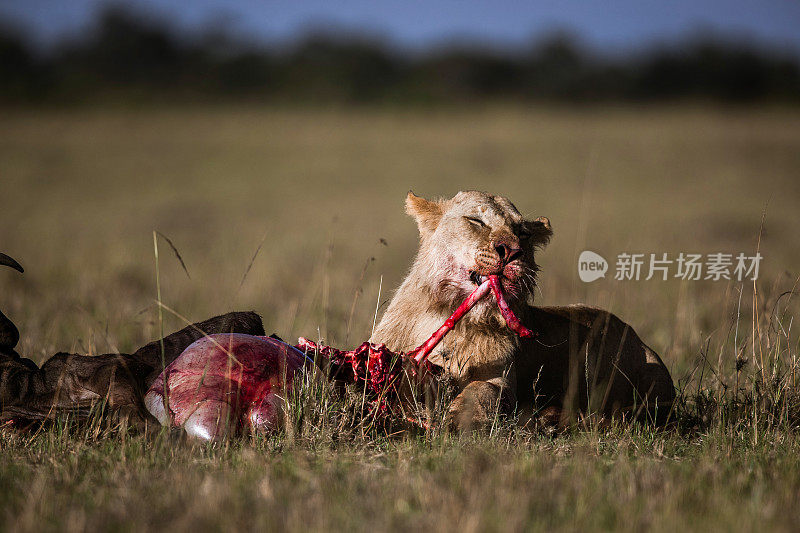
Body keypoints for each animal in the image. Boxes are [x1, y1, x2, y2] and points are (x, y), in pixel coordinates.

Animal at [372, 189, 672, 430]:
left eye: (523, 234)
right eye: (476, 221)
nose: (512, 251)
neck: (455, 316)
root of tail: (639, 338)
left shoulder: (501, 380)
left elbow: (482, 392)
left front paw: (461, 420)